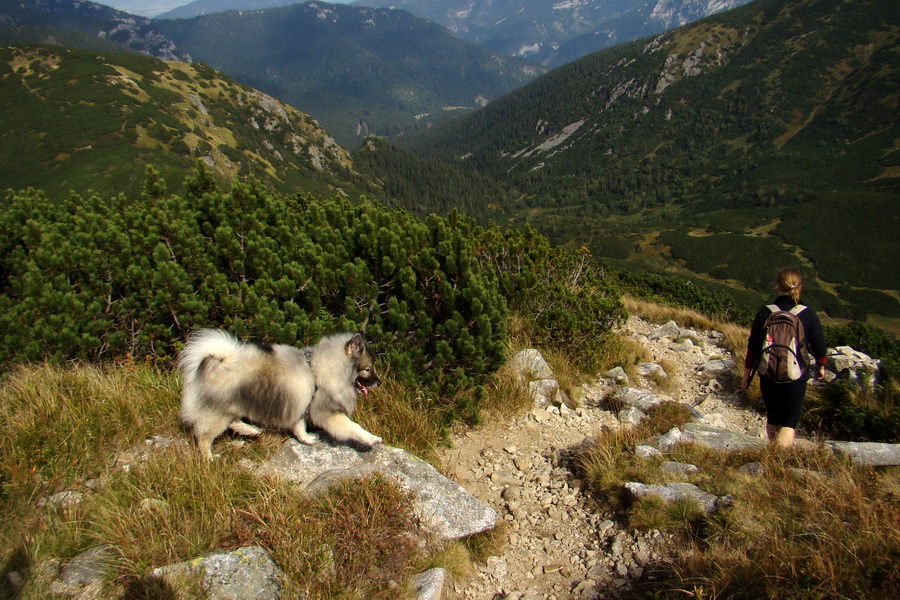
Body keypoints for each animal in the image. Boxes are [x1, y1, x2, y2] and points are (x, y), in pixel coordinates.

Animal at [179, 328, 384, 460]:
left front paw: (307, 439)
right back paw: (209, 458)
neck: (317, 370)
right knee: (204, 437)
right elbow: (354, 427)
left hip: (235, 403)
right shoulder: (327, 412)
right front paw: (371, 439)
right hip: (219, 410)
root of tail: (216, 362)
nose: (379, 382)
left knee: (234, 421)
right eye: (367, 369)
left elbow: (299, 427)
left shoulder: (303, 405)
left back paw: (251, 430)